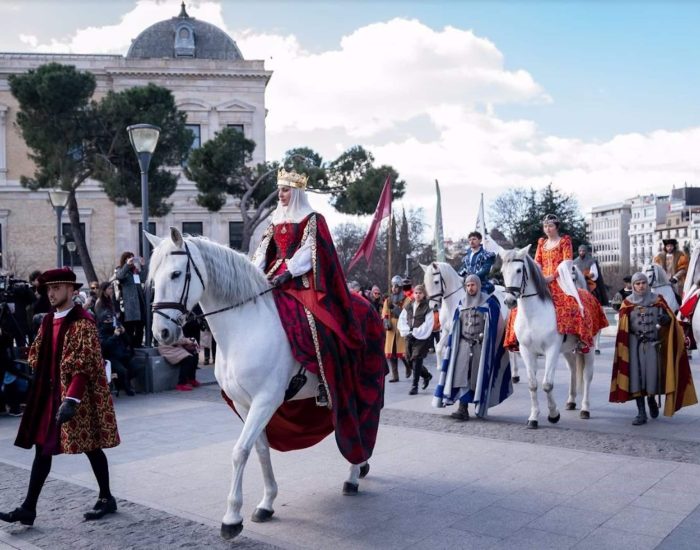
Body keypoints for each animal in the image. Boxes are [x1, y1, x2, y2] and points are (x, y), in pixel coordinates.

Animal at [146, 226, 378, 540]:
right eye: (152, 280)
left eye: (175, 274)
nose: (161, 333)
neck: (244, 329)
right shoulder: (244, 403)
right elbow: (260, 450)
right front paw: (266, 503)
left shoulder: (266, 400)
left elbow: (239, 451)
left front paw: (232, 517)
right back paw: (360, 466)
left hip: (356, 385)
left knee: (357, 422)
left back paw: (354, 474)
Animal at [500, 248, 592, 430]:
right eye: (502, 272)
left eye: (519, 270)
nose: (509, 301)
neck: (534, 314)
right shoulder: (526, 351)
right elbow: (533, 384)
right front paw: (533, 417)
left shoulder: (551, 350)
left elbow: (547, 384)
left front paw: (553, 415)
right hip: (567, 350)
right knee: (573, 369)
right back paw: (571, 401)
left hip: (589, 347)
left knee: (587, 376)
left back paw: (585, 409)